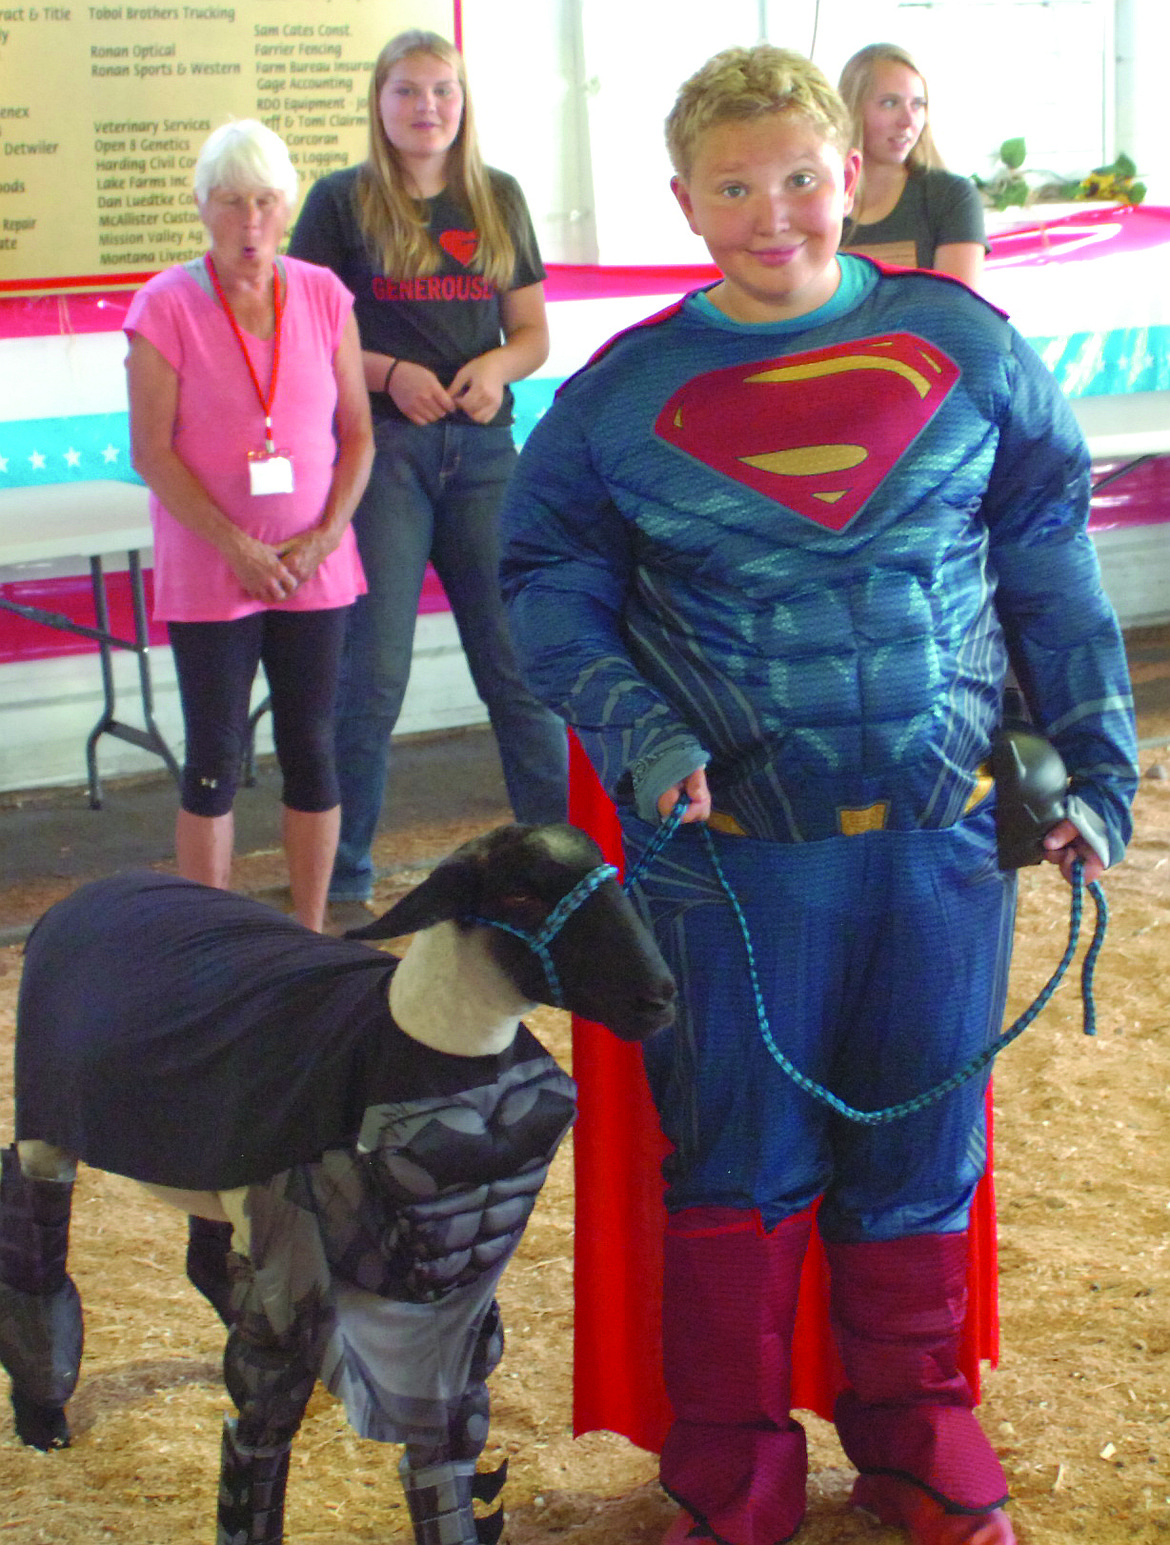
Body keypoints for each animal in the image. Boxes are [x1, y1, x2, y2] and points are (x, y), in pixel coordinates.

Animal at [0, 828, 676, 1538]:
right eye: (518, 893)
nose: (659, 996)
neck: (417, 1040)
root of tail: (99, 887)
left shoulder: (455, 1295)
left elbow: (448, 1439)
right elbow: (263, 1427)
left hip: (210, 1152)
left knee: (204, 1261)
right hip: (50, 1130)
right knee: (39, 1239)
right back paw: (44, 1419)